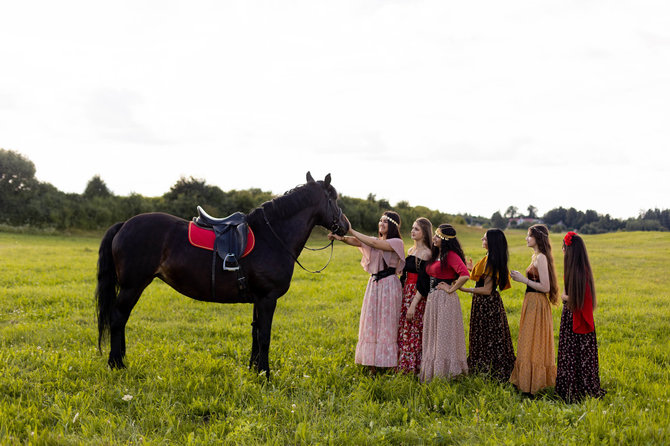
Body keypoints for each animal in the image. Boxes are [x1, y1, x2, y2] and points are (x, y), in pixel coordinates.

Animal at [97, 172, 350, 374]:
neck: (272, 237)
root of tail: (124, 225)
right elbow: (265, 336)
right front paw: (265, 374)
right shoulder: (267, 298)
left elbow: (255, 333)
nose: (345, 226)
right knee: (118, 318)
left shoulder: (258, 299)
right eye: (333, 198)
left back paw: (120, 360)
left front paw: (253, 369)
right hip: (132, 286)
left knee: (122, 319)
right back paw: (116, 364)